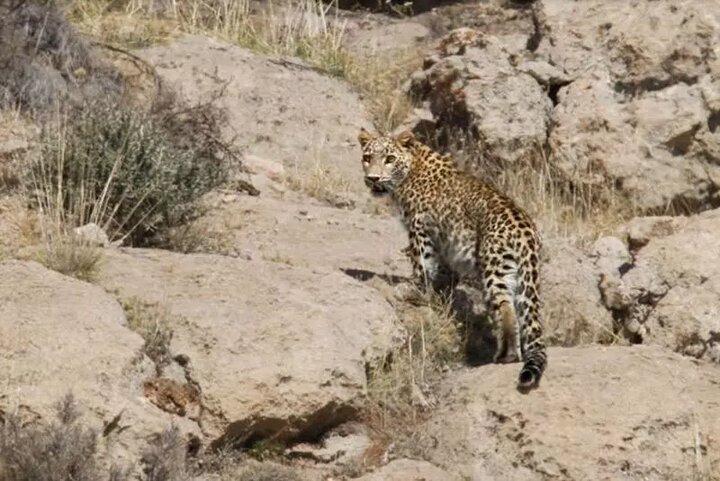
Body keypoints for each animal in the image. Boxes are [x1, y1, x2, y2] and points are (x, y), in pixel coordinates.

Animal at [358, 127, 548, 390]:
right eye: (367, 157)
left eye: (389, 159)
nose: (374, 179)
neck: (411, 169)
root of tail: (526, 230)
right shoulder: (444, 241)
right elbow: (444, 271)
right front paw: (439, 292)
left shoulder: (420, 229)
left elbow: (422, 264)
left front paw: (414, 290)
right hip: (517, 272)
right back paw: (514, 354)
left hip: (493, 265)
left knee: (504, 305)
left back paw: (505, 355)